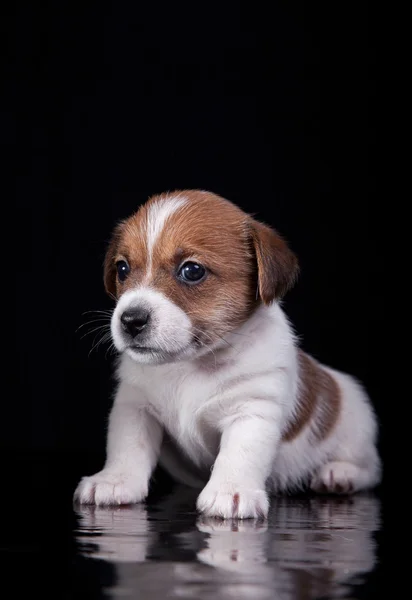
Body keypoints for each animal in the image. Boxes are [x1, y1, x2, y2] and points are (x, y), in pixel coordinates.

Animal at [73, 190, 380, 516]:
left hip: (355, 434)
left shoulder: (252, 410)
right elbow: (128, 447)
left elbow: (239, 455)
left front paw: (230, 491)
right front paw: (115, 480)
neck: (190, 364)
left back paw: (339, 474)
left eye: (192, 271)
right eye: (123, 269)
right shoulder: (135, 407)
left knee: (370, 468)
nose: (130, 320)